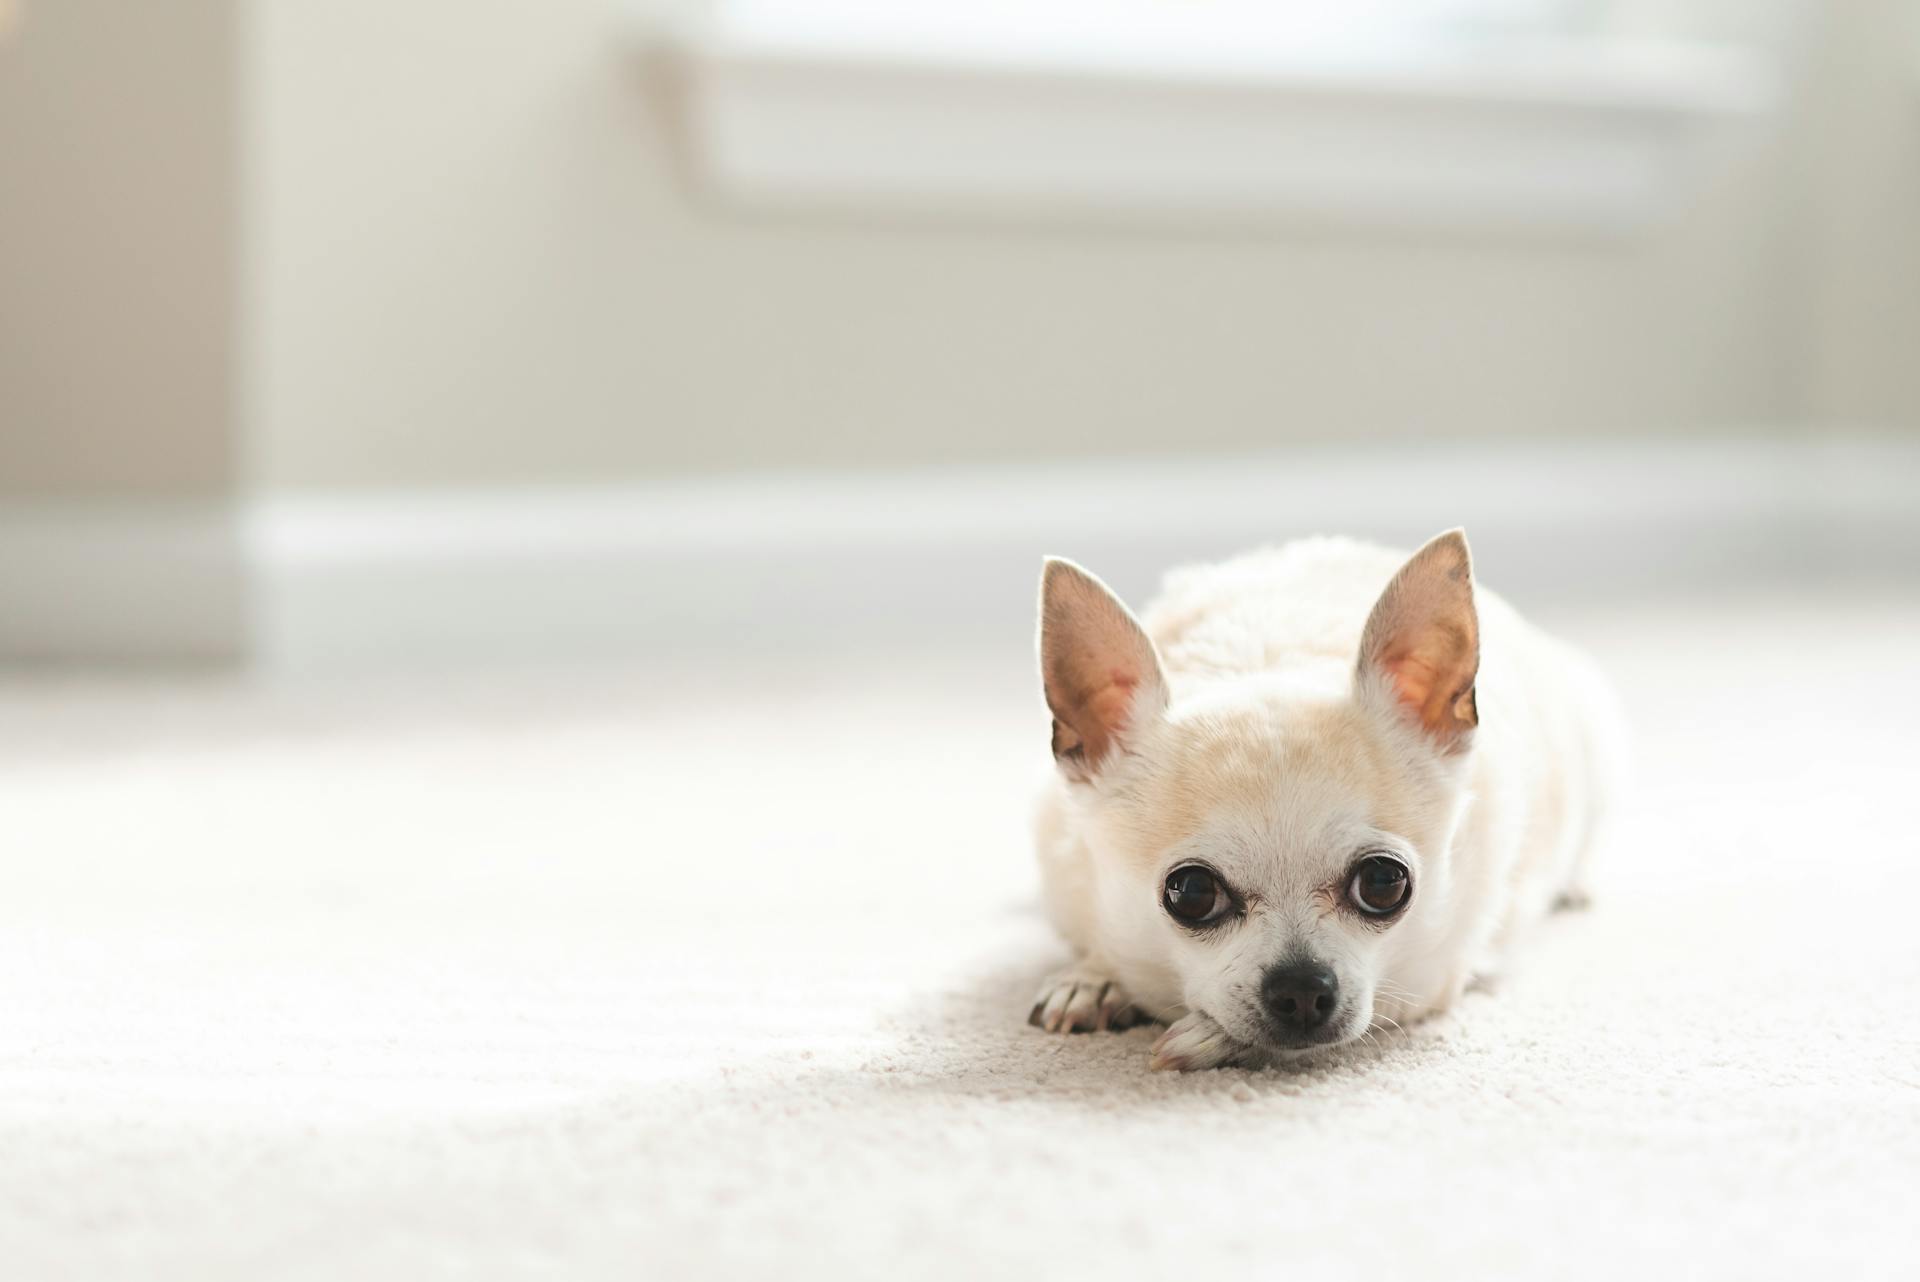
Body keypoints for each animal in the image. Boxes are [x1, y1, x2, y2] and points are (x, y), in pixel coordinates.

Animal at [1036, 529, 1620, 1074]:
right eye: (1192, 893)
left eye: (1384, 883)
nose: (1301, 989)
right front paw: (1094, 978)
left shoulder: (1433, 973)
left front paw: (1206, 1036)